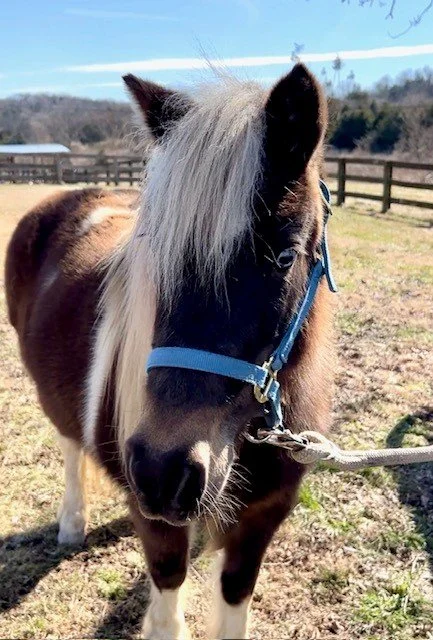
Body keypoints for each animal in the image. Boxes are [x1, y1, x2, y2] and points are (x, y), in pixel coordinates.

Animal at [5, 63, 334, 639]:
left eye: (284, 255)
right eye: (154, 253)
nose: (164, 471)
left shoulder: (263, 518)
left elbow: (234, 597)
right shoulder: (156, 520)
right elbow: (166, 594)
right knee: (69, 445)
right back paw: (72, 523)